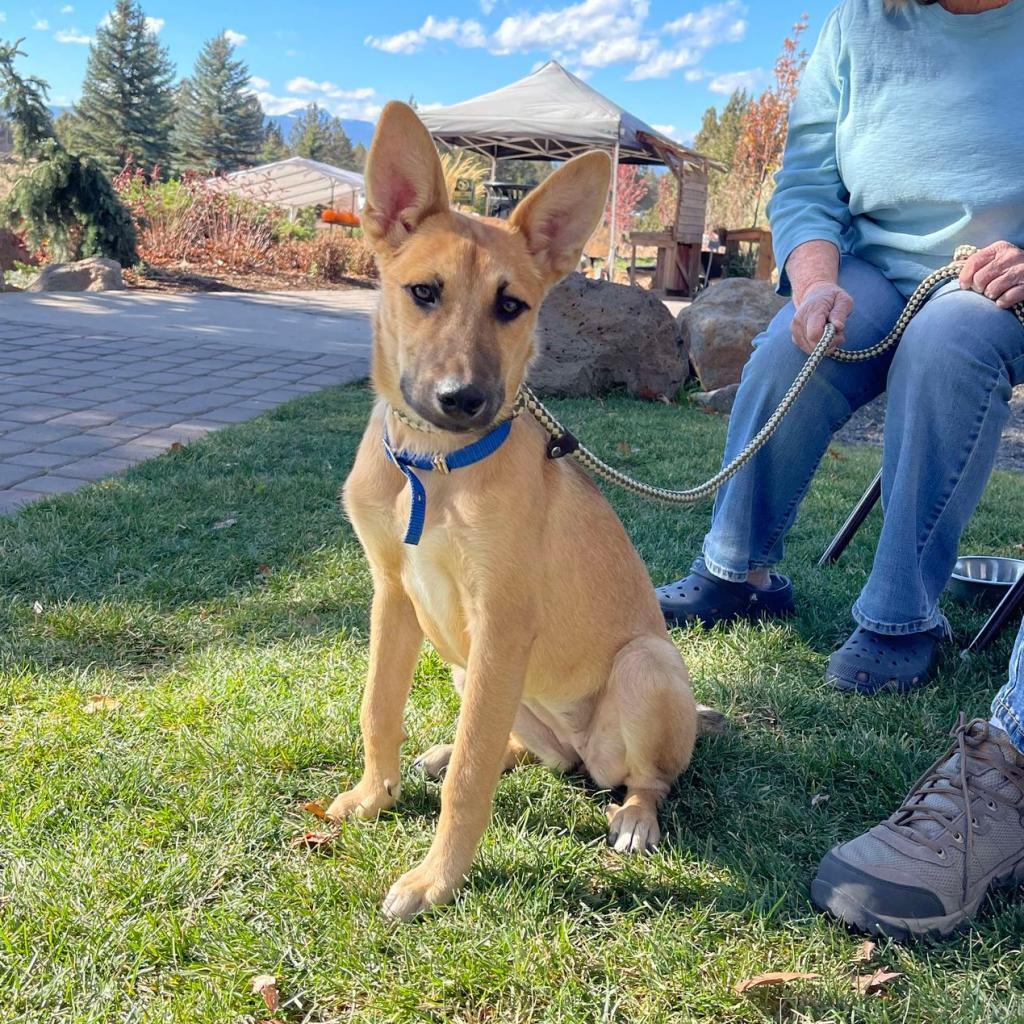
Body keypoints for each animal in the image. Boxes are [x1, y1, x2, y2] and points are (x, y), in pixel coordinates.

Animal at [331, 101, 700, 921]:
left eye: (511, 307)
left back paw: (635, 817)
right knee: (521, 745)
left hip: (647, 665)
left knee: (649, 779)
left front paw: (437, 880)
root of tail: (585, 752)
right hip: (466, 664)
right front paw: (375, 795)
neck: (432, 468)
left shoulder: (500, 620)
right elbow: (379, 708)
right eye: (423, 292)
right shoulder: (393, 597)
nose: (462, 400)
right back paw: (461, 750)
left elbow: (471, 781)